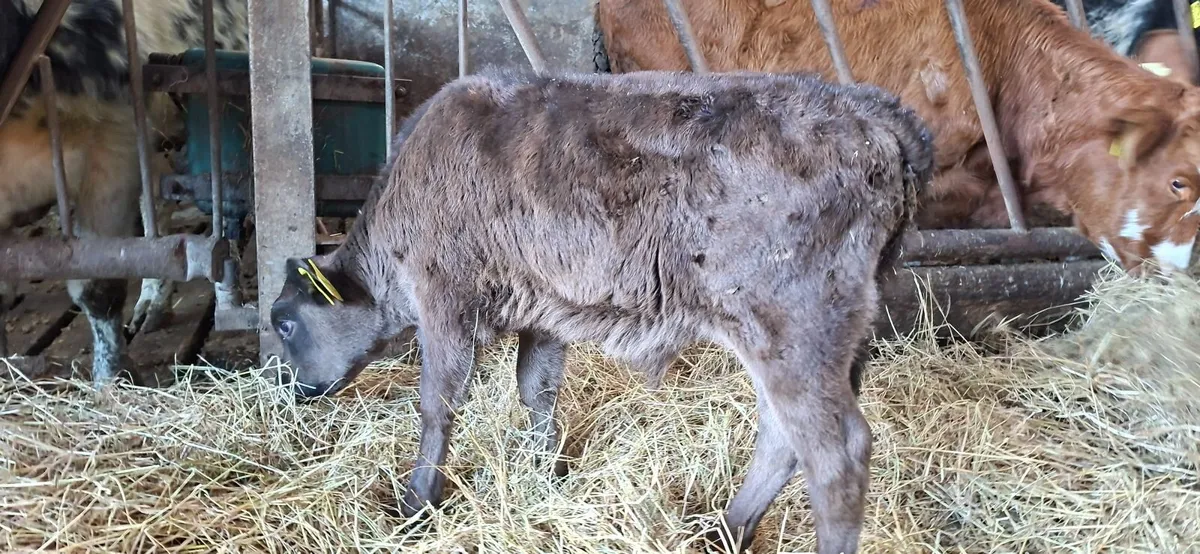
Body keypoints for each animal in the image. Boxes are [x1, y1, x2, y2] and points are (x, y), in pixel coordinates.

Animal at [267, 68, 935, 554]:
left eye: (285, 323)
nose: (292, 391)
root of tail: (871, 110)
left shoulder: (446, 301)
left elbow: (438, 404)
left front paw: (416, 505)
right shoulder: (543, 311)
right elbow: (536, 390)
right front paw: (545, 476)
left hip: (793, 328)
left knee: (834, 454)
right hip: (812, 337)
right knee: (782, 436)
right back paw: (726, 531)